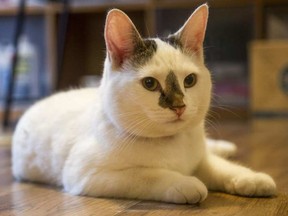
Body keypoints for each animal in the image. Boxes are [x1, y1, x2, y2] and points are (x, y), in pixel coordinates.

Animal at [12, 4, 276, 204]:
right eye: (150, 83)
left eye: (189, 80)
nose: (179, 105)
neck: (171, 144)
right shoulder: (88, 174)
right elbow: (148, 175)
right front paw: (185, 183)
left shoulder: (201, 160)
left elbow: (222, 168)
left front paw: (252, 178)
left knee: (211, 149)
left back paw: (224, 147)